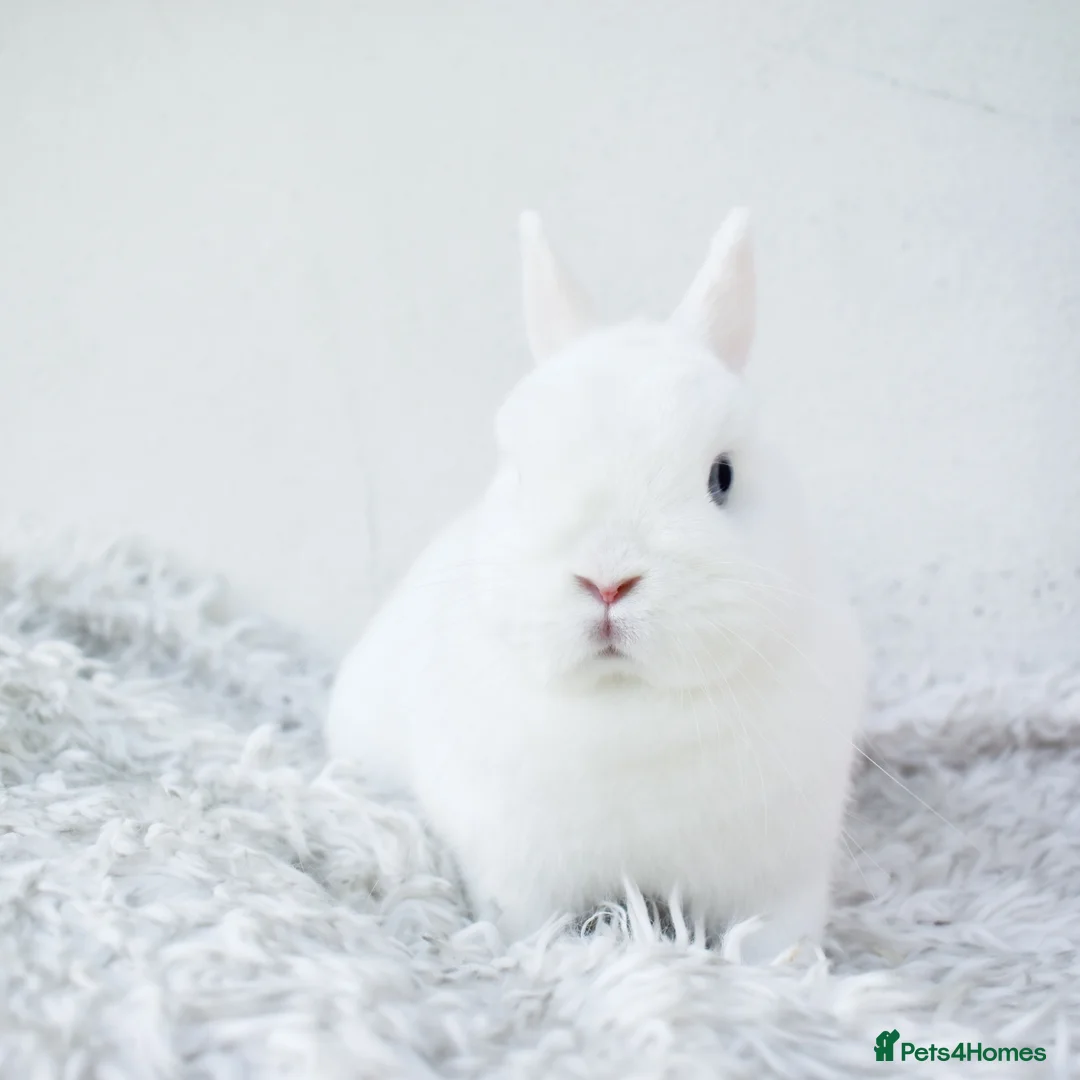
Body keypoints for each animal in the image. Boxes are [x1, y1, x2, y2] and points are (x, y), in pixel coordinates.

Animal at [326, 207, 866, 963]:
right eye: (522, 473)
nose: (608, 581)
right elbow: (529, 928)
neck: (629, 702)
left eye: (722, 476)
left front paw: (784, 975)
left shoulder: (783, 878)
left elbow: (773, 945)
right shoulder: (517, 874)